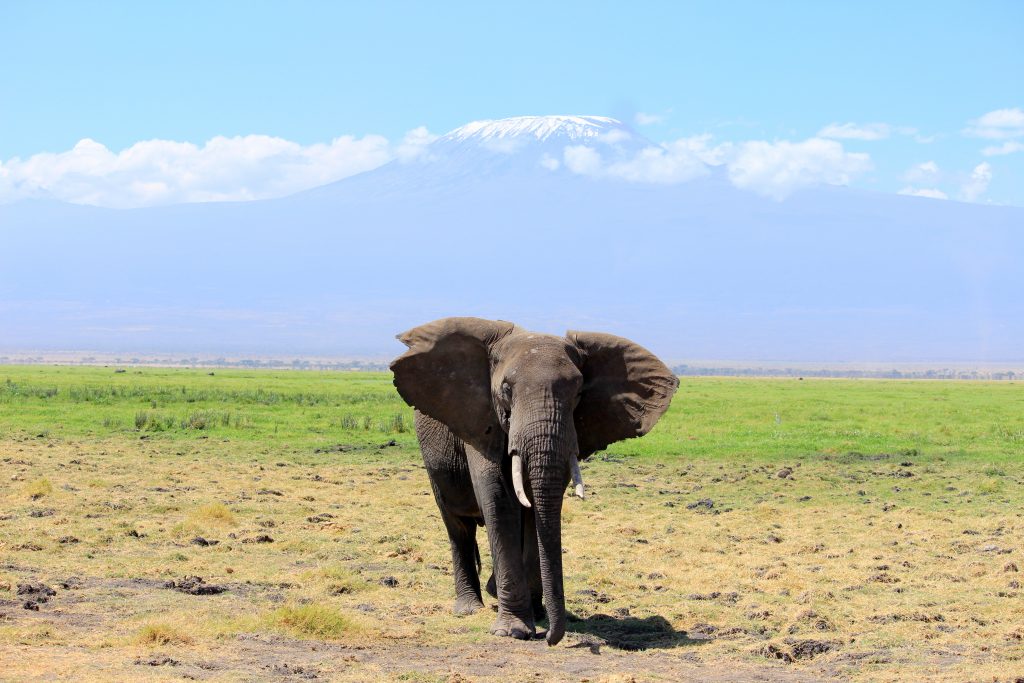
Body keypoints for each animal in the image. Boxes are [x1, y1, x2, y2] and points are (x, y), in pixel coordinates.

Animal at [391, 317, 679, 647]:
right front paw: (514, 631)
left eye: (578, 393)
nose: (550, 638)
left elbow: (535, 508)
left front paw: (535, 615)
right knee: (457, 525)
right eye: (505, 389)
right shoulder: (479, 418)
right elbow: (499, 498)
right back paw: (470, 608)